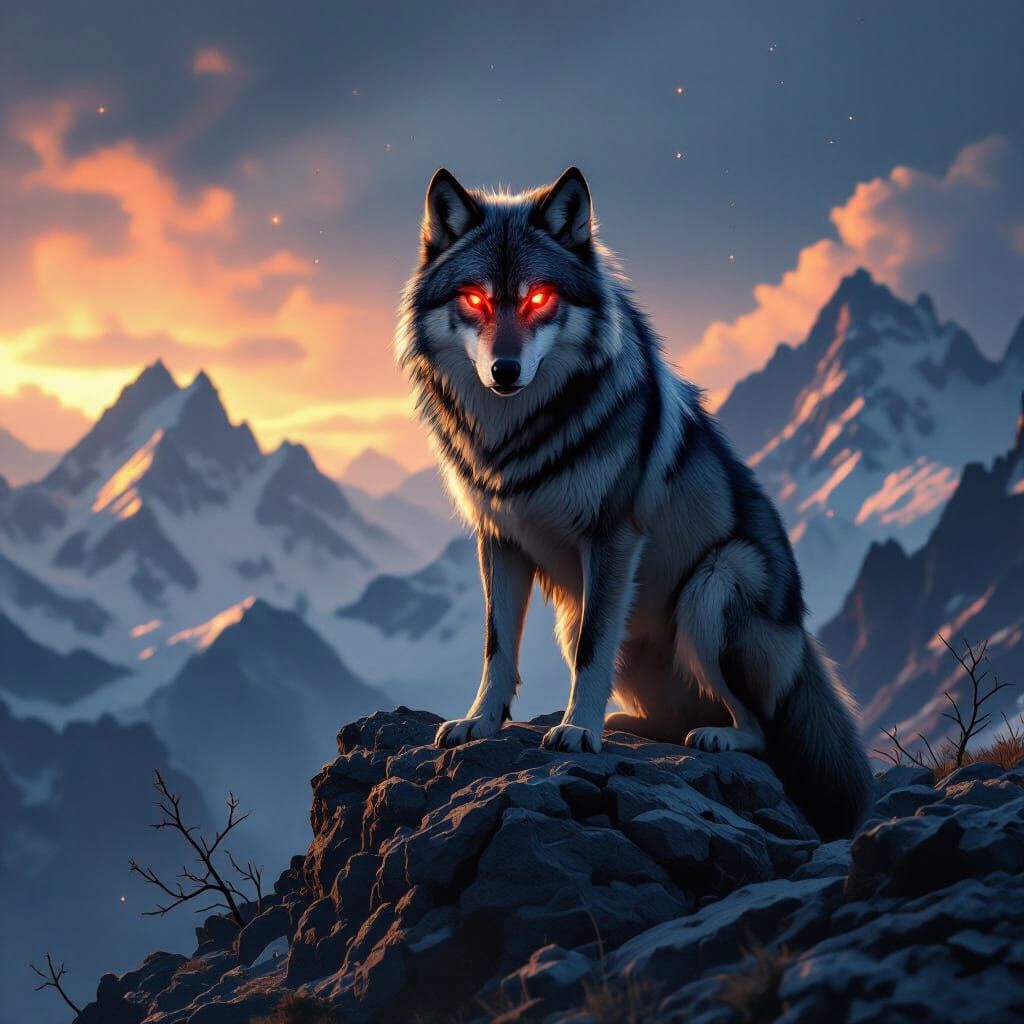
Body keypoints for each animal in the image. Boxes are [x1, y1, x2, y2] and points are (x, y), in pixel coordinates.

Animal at [395, 166, 873, 839]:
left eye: (539, 299)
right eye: (476, 301)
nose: (505, 370)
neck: (516, 434)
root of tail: (803, 642)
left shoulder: (612, 537)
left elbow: (594, 650)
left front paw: (578, 732)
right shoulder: (500, 541)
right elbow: (497, 645)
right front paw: (480, 721)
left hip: (715, 583)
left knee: (761, 730)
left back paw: (713, 737)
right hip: (580, 619)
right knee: (672, 717)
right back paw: (629, 724)